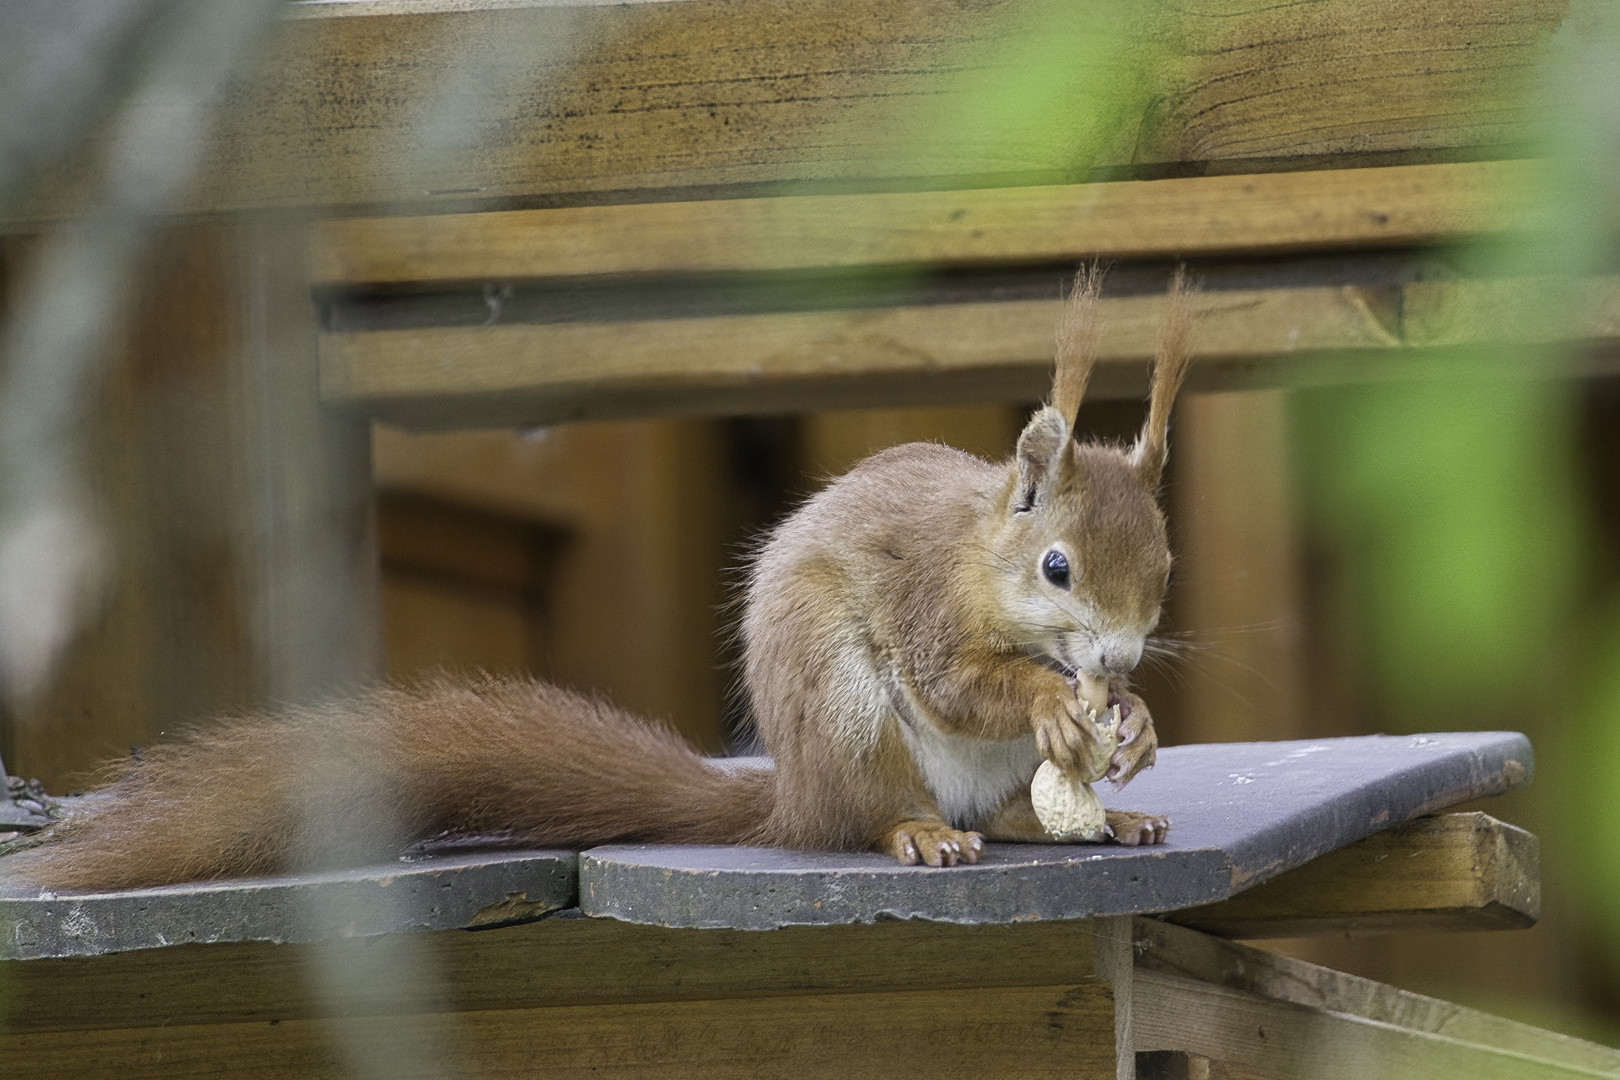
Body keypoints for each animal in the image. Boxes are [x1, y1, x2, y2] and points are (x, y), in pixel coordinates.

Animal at [9, 265, 1192, 893]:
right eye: (1057, 566)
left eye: (1165, 567)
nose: (1121, 656)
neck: (985, 559)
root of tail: (792, 794)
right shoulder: (928, 606)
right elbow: (958, 681)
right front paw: (1051, 697)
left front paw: (1132, 721)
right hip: (847, 713)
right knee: (871, 813)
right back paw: (917, 831)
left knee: (1009, 815)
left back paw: (1096, 820)